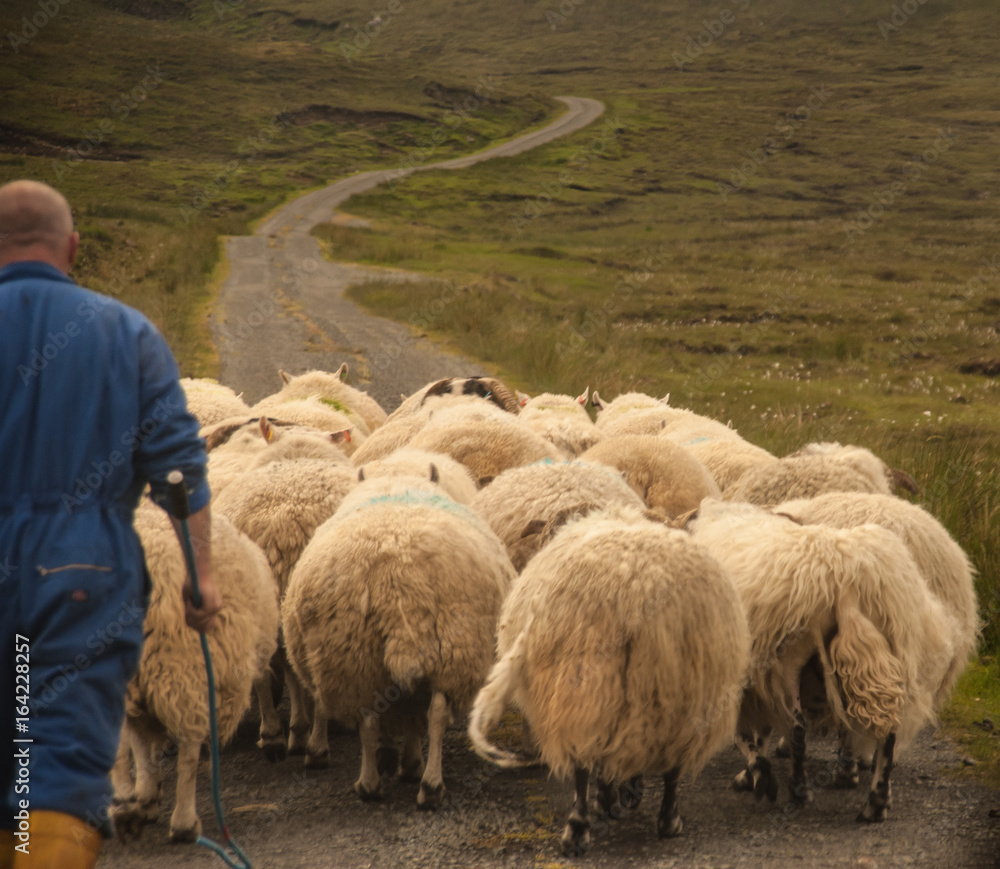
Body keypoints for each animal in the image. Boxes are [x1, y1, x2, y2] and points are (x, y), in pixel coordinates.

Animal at [111, 500, 279, 842]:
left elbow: (141, 741)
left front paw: (146, 795)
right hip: (186, 664)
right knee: (188, 747)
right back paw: (183, 822)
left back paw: (132, 802)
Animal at [281, 470, 516, 807]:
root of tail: (399, 579)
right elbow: (411, 717)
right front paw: (407, 761)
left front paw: (398, 758)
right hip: (446, 651)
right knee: (432, 712)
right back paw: (427, 786)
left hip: (357, 656)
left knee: (370, 716)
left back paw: (371, 784)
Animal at [468, 505, 750, 854]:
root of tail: (632, 591)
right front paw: (619, 793)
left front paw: (613, 794)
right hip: (669, 683)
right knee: (659, 762)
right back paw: (647, 821)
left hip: (605, 679)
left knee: (590, 752)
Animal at [687, 498, 956, 822]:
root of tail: (845, 579)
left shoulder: (744, 677)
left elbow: (746, 734)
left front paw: (756, 777)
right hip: (897, 646)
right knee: (890, 730)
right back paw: (876, 804)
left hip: (788, 657)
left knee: (798, 728)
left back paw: (799, 791)